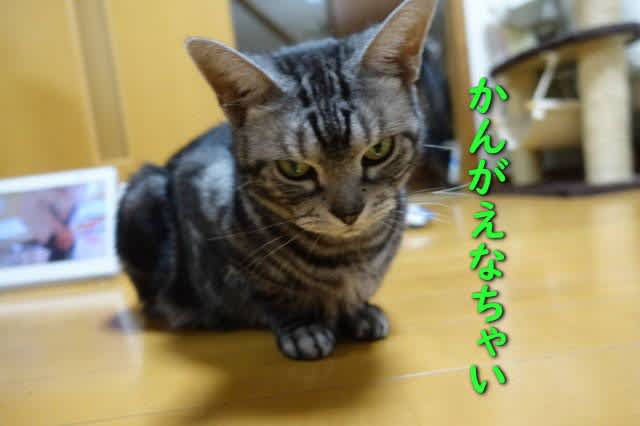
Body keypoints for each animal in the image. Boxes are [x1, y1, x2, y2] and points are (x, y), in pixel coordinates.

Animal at [117, 0, 438, 360]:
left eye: (378, 150)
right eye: (293, 169)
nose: (349, 213)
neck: (350, 255)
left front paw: (359, 310)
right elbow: (266, 296)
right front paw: (303, 326)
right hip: (142, 193)